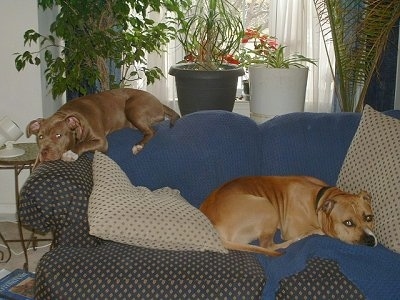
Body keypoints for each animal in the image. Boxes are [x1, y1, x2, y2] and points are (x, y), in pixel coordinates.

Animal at [202, 176, 376, 255]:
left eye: (369, 218)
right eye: (348, 223)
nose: (370, 239)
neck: (319, 200)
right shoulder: (292, 230)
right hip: (268, 208)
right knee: (269, 245)